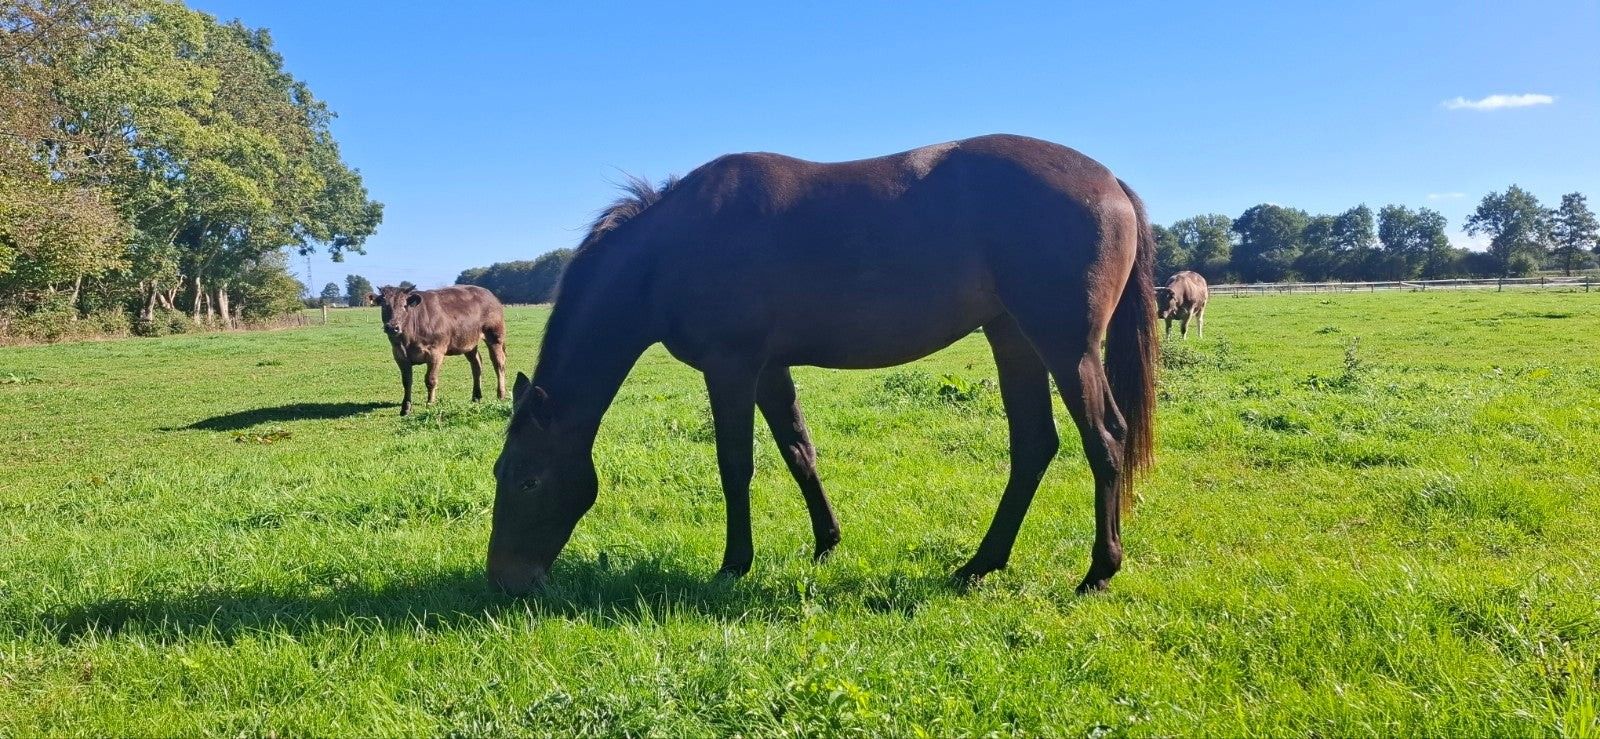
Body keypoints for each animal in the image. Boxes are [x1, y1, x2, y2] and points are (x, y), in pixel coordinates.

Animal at [489, 134, 1158, 596]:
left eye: (527, 480)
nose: (504, 579)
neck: (668, 250)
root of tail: (1110, 181)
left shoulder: (731, 368)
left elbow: (735, 465)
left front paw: (734, 564)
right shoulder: (768, 369)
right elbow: (798, 451)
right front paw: (826, 543)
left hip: (1065, 345)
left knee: (1105, 438)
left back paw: (1099, 571)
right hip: (1013, 339)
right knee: (1034, 445)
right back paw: (979, 564)